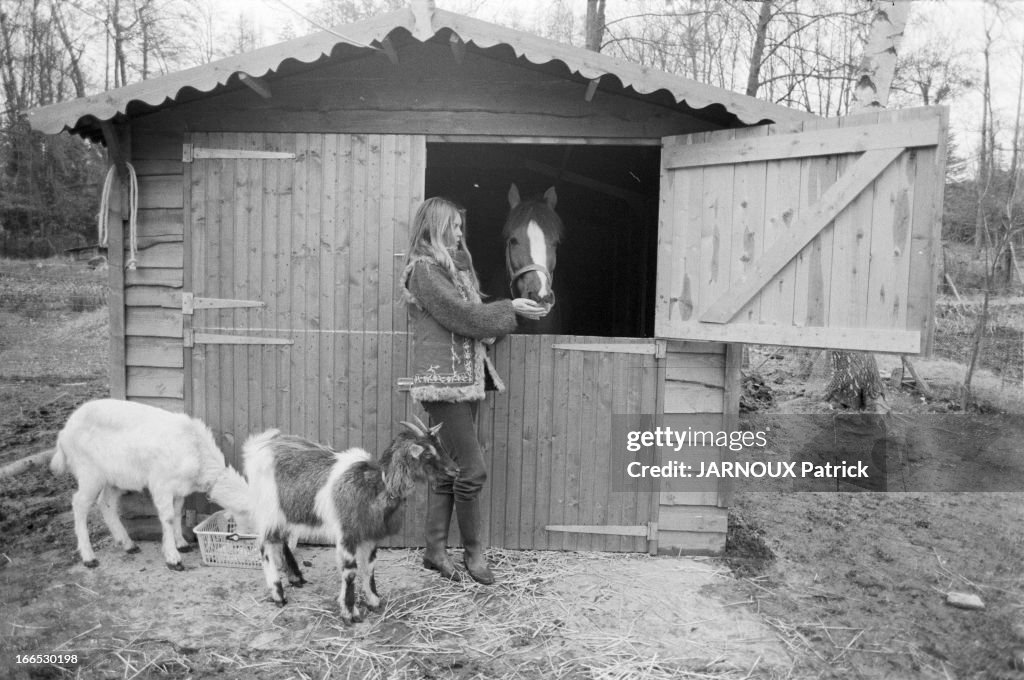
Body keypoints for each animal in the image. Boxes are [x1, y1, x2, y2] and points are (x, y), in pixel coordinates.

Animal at [49, 399, 253, 569]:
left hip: (115, 477)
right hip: (89, 472)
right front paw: (173, 558)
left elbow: (177, 513)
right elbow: (168, 518)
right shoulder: (161, 484)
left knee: (106, 503)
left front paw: (182, 543)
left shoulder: (180, 489)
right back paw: (89, 557)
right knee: (79, 504)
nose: (246, 546)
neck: (197, 451)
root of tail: (64, 432)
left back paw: (128, 544)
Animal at [241, 413, 458, 622]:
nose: (455, 470)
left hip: (286, 512)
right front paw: (349, 612)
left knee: (281, 540)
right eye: (428, 453)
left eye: (441, 445)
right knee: (265, 546)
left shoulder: (370, 534)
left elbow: (369, 567)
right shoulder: (348, 533)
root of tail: (257, 446)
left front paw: (374, 602)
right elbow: (351, 570)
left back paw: (296, 578)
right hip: (268, 510)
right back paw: (278, 594)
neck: (375, 484)